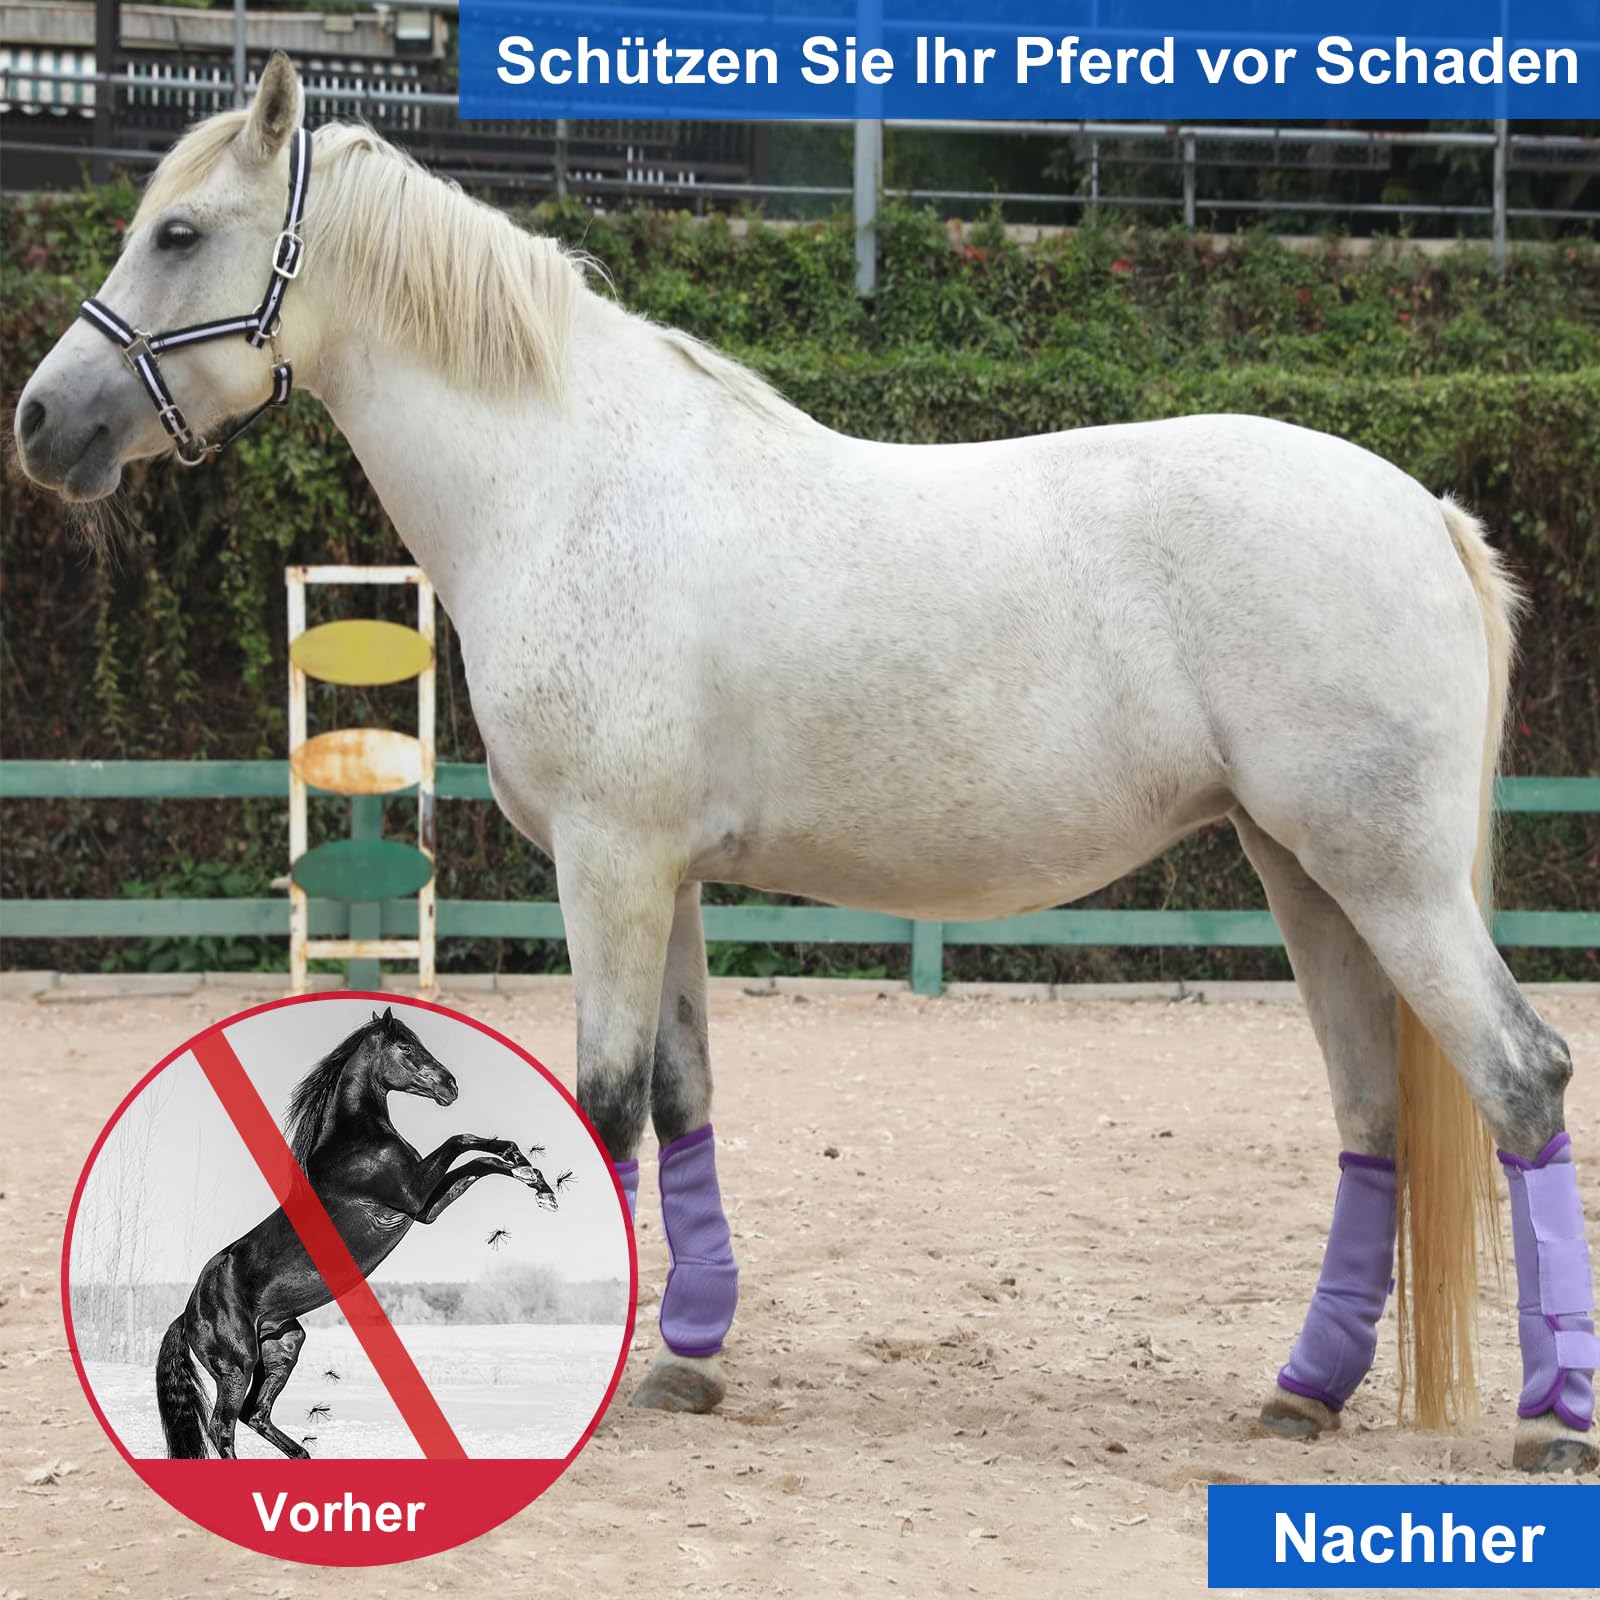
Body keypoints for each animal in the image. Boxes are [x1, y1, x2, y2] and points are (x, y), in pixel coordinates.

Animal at [153, 1006, 557, 1458]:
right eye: (406, 1046)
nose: (450, 1087)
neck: (354, 1143)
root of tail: (187, 1315)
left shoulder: (425, 1208)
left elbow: (478, 1163)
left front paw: (536, 1181)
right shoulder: (414, 1194)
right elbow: (462, 1140)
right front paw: (523, 1164)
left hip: (282, 1345)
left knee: (255, 1413)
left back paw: (304, 1455)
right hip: (237, 1364)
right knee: (222, 1426)